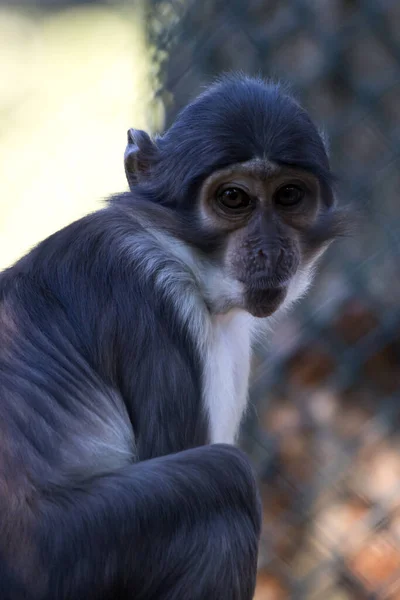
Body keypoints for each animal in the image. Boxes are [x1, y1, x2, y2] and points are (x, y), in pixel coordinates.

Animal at [0, 75, 344, 600]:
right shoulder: (150, 295)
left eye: (288, 196)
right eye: (234, 199)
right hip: (55, 554)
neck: (180, 252)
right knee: (225, 479)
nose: (269, 249)